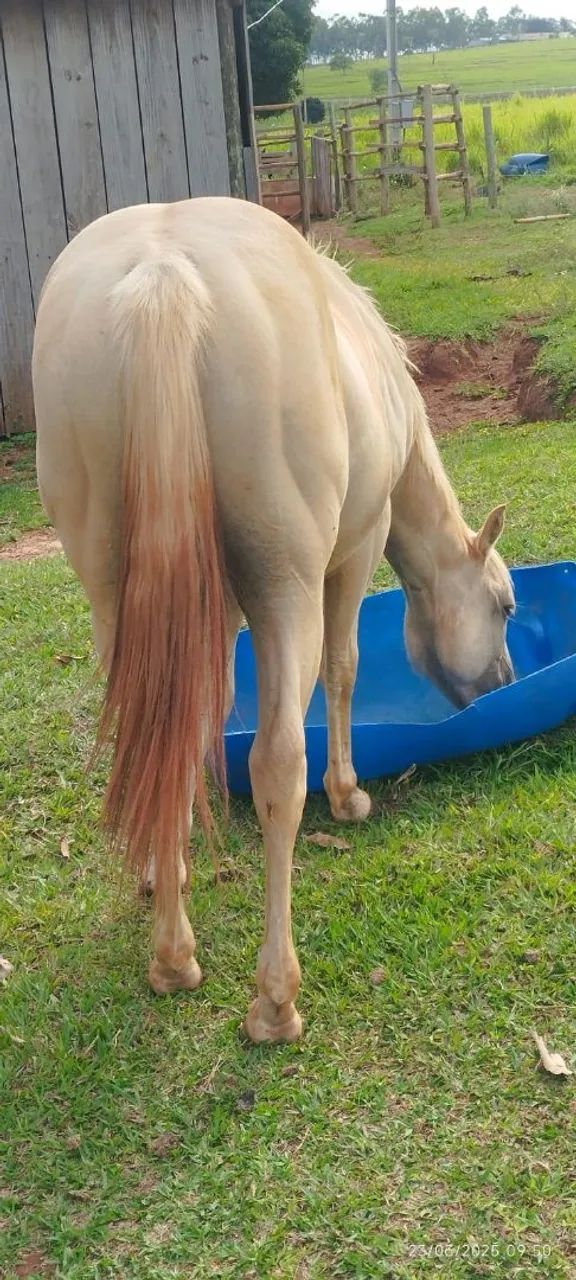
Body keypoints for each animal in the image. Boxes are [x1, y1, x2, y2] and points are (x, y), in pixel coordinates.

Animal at [32, 197, 515, 1043]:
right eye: (506, 606)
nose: (502, 684)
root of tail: (166, 277)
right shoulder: (353, 554)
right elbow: (345, 671)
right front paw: (348, 793)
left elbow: (196, 720)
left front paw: (172, 863)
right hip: (289, 586)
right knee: (278, 763)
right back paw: (274, 997)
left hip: (114, 592)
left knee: (144, 734)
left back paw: (171, 942)